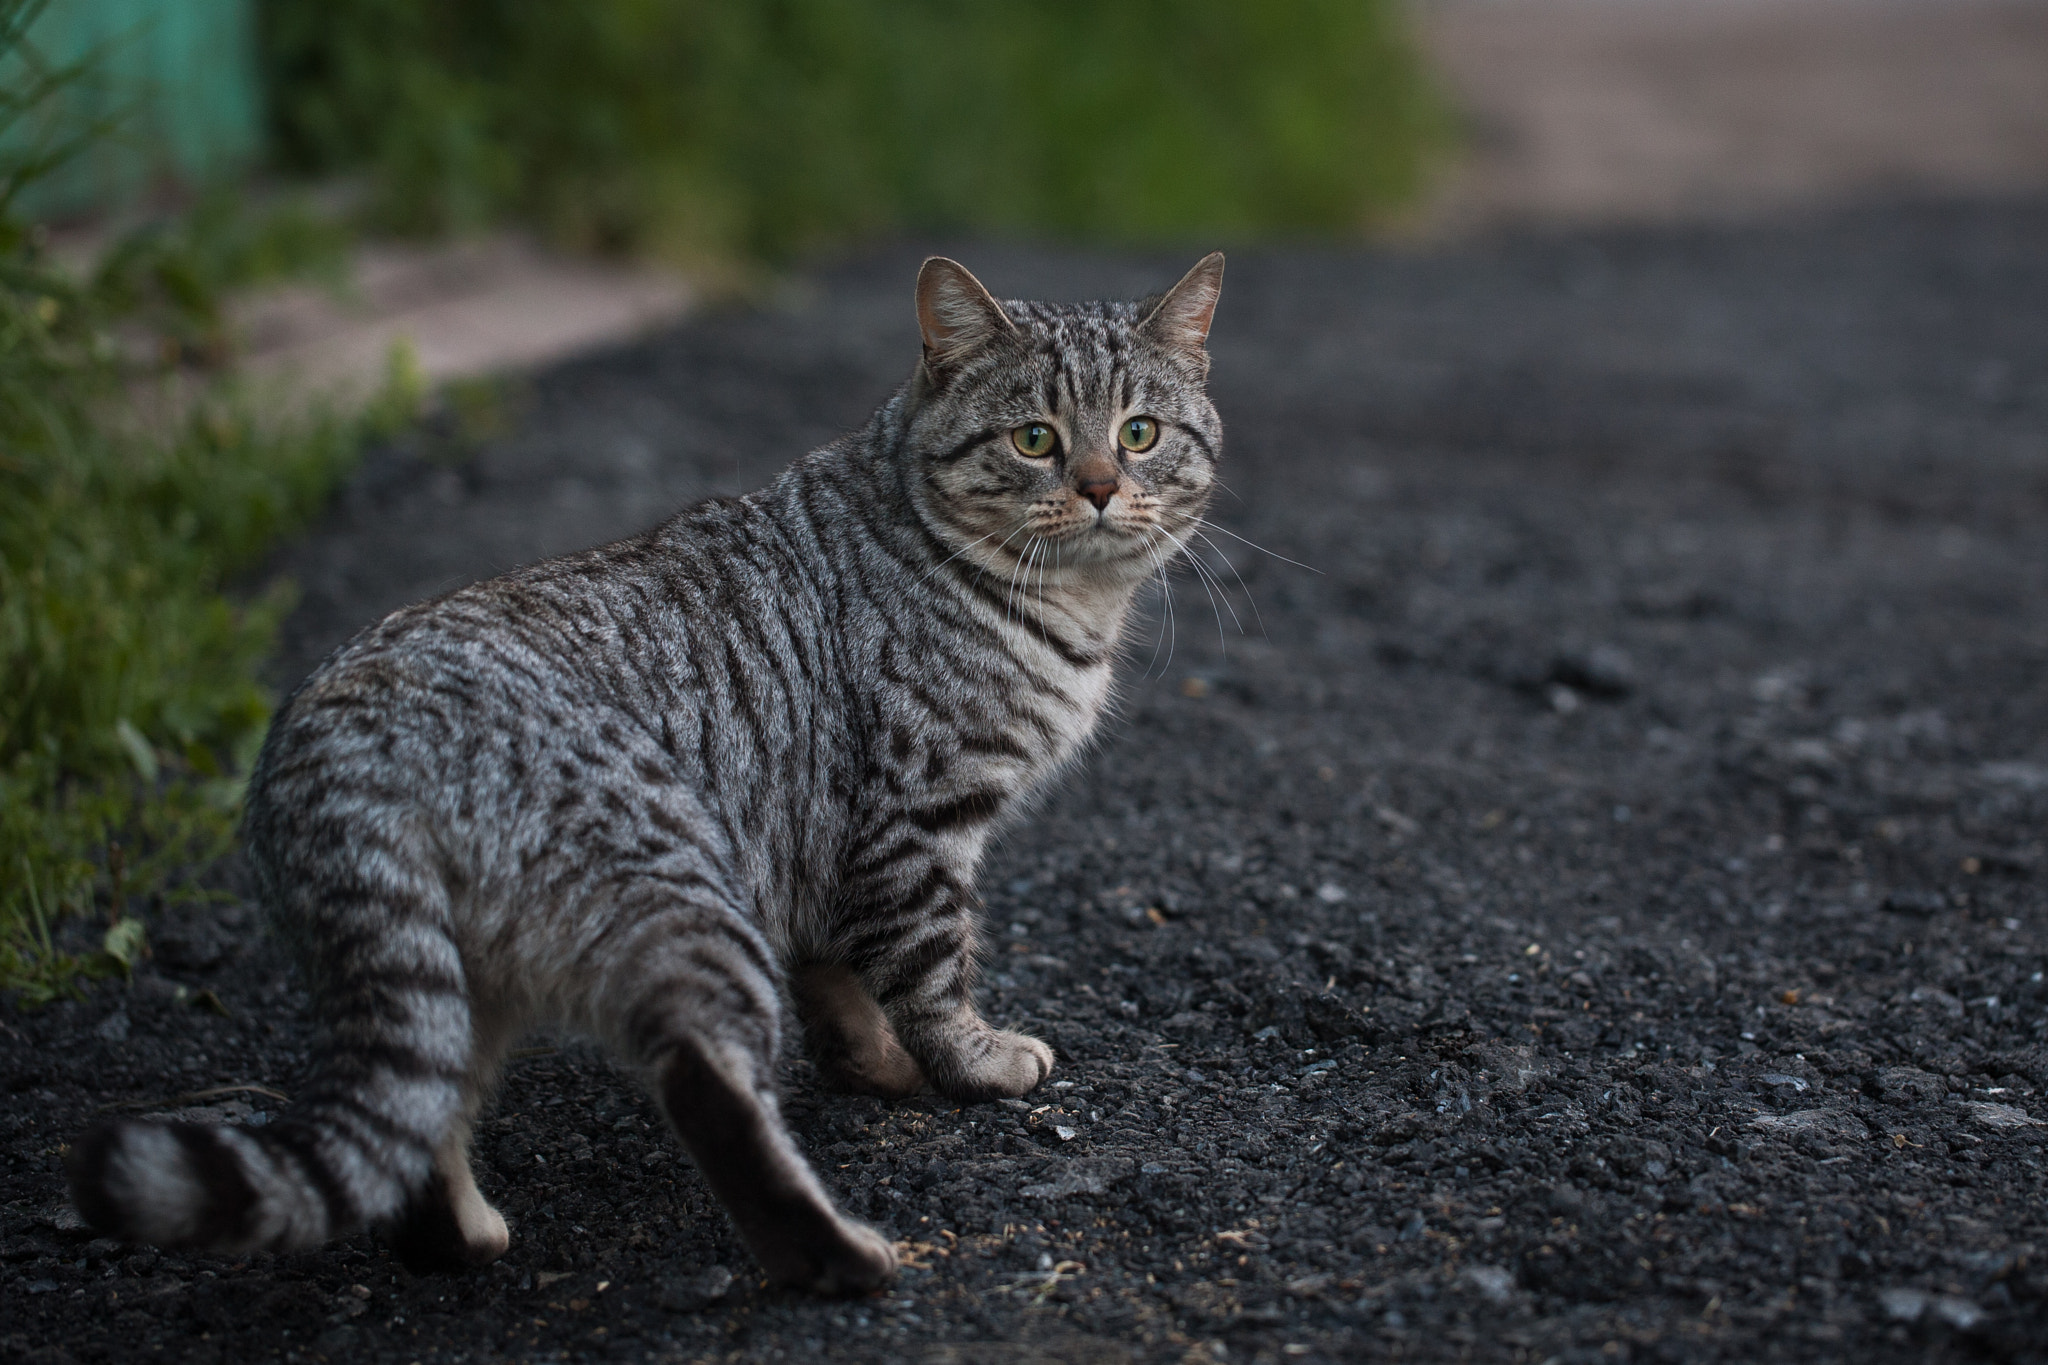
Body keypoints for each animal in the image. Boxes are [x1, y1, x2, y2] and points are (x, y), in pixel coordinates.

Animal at [72, 253, 1220, 1293]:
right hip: (678, 900)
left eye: (1139, 433)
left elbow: (844, 985)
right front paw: (969, 1062)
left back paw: (463, 1235)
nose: (1101, 489)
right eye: (1035, 439)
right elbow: (931, 968)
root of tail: (342, 738)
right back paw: (841, 1257)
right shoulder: (911, 821)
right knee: (706, 1087)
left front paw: (881, 1068)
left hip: (445, 983)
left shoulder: (817, 852)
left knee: (418, 1122)